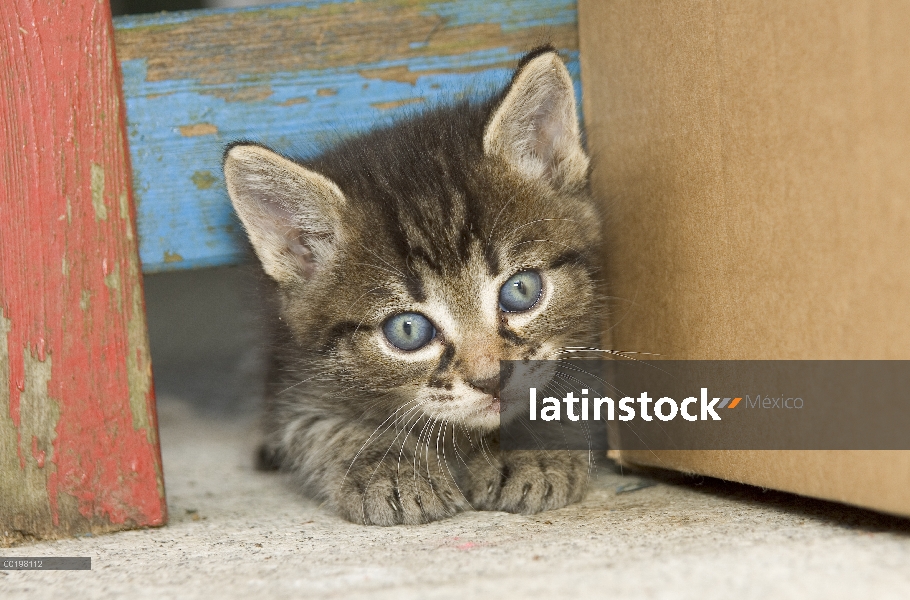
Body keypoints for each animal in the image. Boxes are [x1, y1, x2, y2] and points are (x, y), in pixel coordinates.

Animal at [224, 47, 604, 524]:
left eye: (520, 290)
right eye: (407, 330)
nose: (492, 379)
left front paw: (532, 448)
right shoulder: (295, 379)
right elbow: (324, 429)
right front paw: (393, 467)